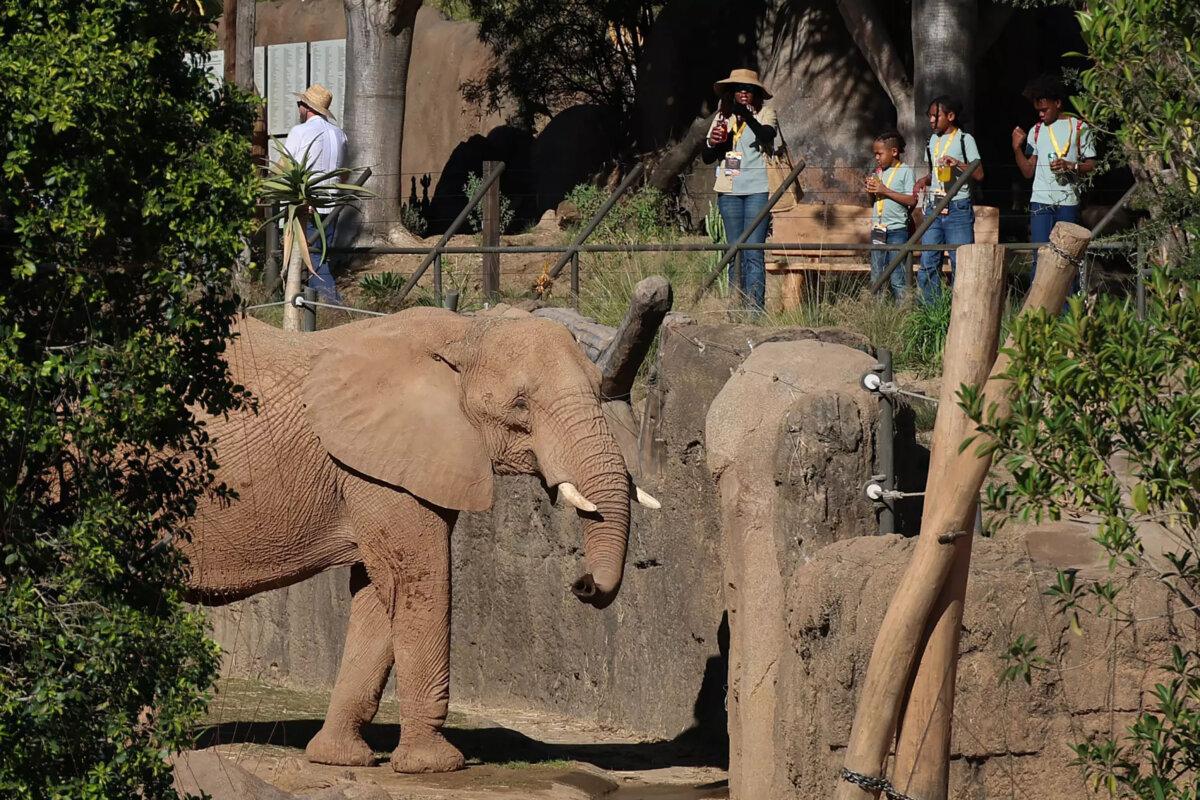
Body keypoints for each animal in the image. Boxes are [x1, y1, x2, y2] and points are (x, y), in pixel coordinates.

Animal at [186, 306, 656, 773]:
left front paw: (339, 759)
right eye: (520, 406)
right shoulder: (382, 462)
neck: (464, 331)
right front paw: (436, 765)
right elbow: (418, 578)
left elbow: (379, 594)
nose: (583, 584)